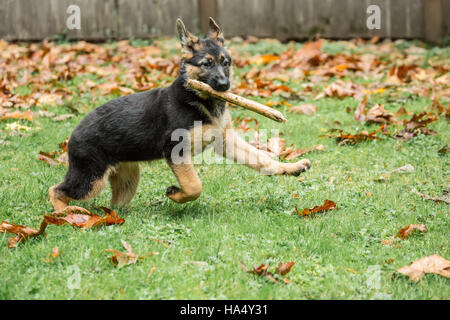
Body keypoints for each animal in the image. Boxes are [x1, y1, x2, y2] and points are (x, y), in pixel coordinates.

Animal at [48, 18, 310, 211]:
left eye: (226, 63)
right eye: (206, 64)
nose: (224, 86)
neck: (199, 100)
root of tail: (73, 135)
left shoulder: (225, 141)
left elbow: (261, 159)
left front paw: (290, 168)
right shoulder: (176, 150)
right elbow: (194, 185)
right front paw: (176, 195)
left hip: (128, 177)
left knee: (116, 204)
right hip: (91, 179)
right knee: (57, 190)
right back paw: (65, 215)